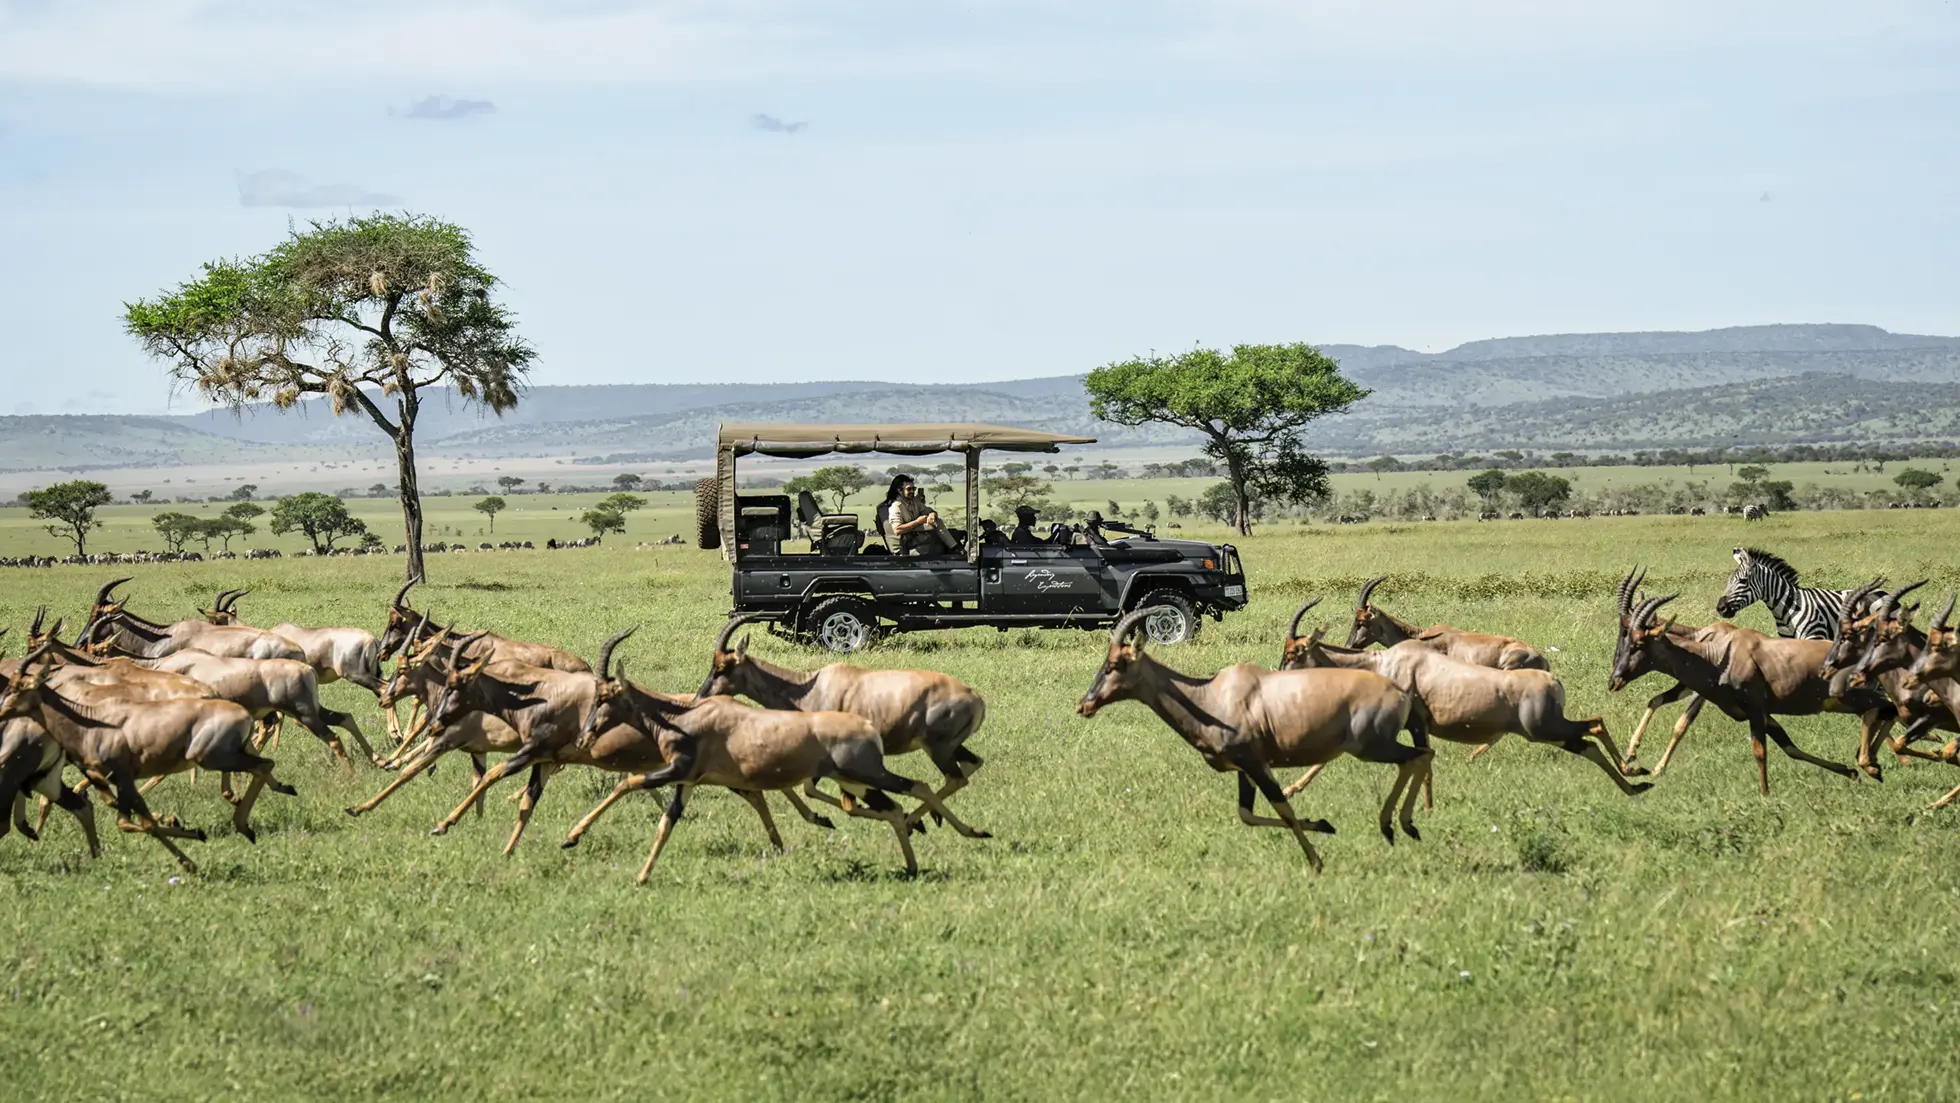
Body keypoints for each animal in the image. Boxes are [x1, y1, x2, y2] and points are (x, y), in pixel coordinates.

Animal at [0, 649, 297, 872]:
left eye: (19, 687)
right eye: (10, 685)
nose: (2, 713)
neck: (90, 719)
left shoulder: (122, 777)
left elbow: (143, 823)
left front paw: (191, 854)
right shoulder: (114, 780)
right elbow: (127, 820)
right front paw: (189, 833)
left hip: (212, 757)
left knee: (263, 765)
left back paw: (244, 824)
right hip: (229, 753)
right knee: (262, 763)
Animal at [564, 630, 980, 880]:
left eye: (606, 696)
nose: (585, 736)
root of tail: (976, 697)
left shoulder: (681, 770)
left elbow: (629, 784)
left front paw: (572, 838)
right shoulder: (689, 778)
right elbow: (667, 820)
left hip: (910, 757)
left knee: (932, 782)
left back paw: (946, 832)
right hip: (894, 764)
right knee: (949, 778)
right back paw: (927, 840)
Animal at [696, 613, 989, 832]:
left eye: (722, 668)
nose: (700, 697)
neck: (811, 687)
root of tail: (975, 698)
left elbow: (826, 794)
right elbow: (819, 791)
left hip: (937, 748)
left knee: (955, 777)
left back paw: (924, 821)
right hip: (949, 747)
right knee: (971, 765)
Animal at [1076, 608, 1433, 873]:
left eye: (1115, 664)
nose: (1085, 705)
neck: (1210, 696)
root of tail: (1400, 692)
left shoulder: (1256, 763)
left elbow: (1283, 808)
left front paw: (1316, 862)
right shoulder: (1244, 770)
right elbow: (1247, 815)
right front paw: (1323, 825)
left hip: (1372, 747)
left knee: (1418, 756)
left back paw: (1399, 826)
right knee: (1420, 755)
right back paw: (1398, 826)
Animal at [1610, 589, 1870, 794]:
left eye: (1631, 638)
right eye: (1622, 634)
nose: (1614, 679)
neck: (1709, 638)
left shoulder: (1702, 693)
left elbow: (1681, 724)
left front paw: (1657, 768)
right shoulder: (1692, 686)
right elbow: (1656, 700)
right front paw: (1632, 754)